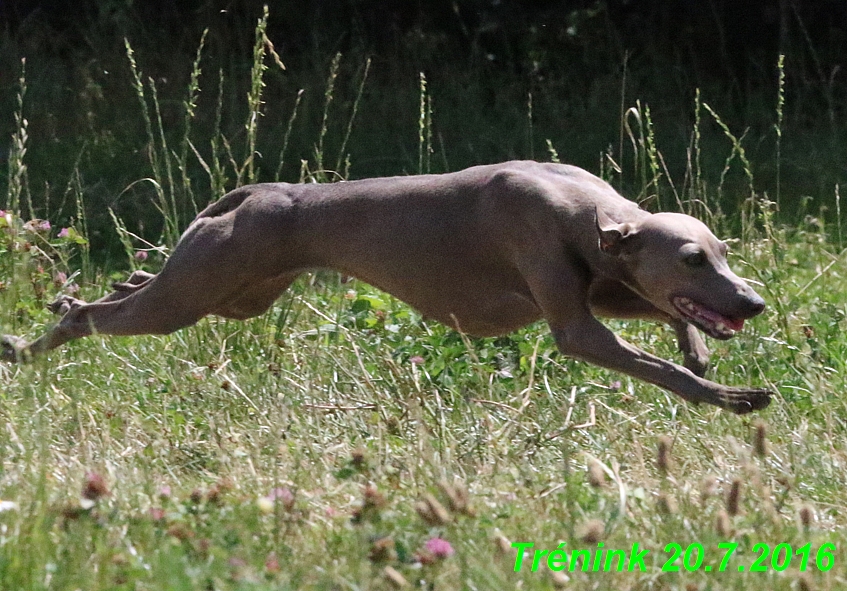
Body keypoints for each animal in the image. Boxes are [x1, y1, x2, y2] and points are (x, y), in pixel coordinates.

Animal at [0, 160, 772, 414]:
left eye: (721, 253)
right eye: (691, 258)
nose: (754, 303)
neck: (587, 211)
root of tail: (255, 195)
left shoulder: (606, 284)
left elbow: (667, 323)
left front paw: (701, 348)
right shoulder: (574, 318)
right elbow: (659, 367)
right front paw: (732, 396)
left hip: (234, 292)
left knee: (129, 288)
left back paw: (105, 286)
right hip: (191, 296)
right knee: (90, 315)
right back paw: (32, 339)